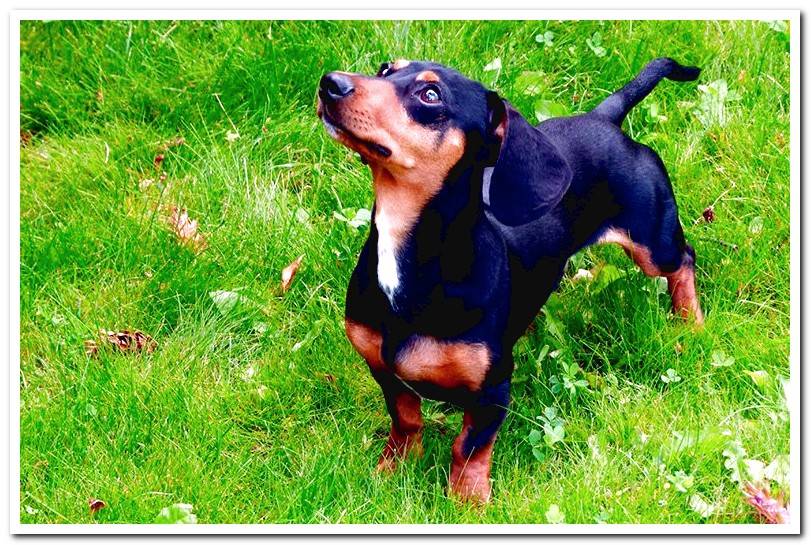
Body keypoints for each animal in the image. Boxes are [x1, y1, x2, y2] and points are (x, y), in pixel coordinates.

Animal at [316, 56, 704, 502]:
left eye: (430, 95)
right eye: (384, 69)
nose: (330, 84)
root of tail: (603, 118)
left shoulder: (493, 389)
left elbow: (468, 448)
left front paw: (467, 501)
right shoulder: (383, 369)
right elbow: (406, 420)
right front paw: (393, 467)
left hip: (653, 242)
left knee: (684, 261)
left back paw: (691, 320)